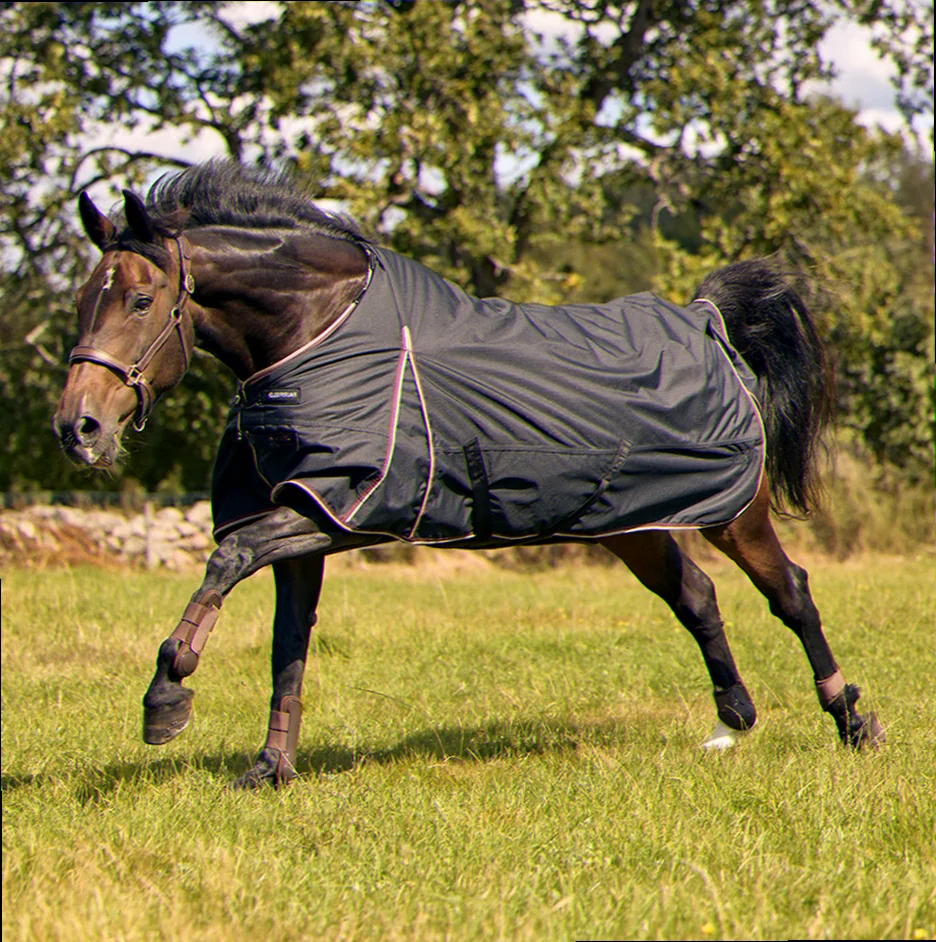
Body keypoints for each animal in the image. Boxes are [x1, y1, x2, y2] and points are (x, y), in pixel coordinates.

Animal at [54, 161, 884, 789]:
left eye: (140, 299)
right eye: (82, 300)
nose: (77, 428)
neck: (320, 331)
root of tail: (705, 316)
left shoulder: (333, 509)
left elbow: (225, 560)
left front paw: (166, 698)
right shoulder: (309, 522)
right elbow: (286, 644)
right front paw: (270, 768)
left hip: (732, 510)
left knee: (790, 594)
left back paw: (852, 720)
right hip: (631, 523)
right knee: (697, 595)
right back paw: (734, 717)